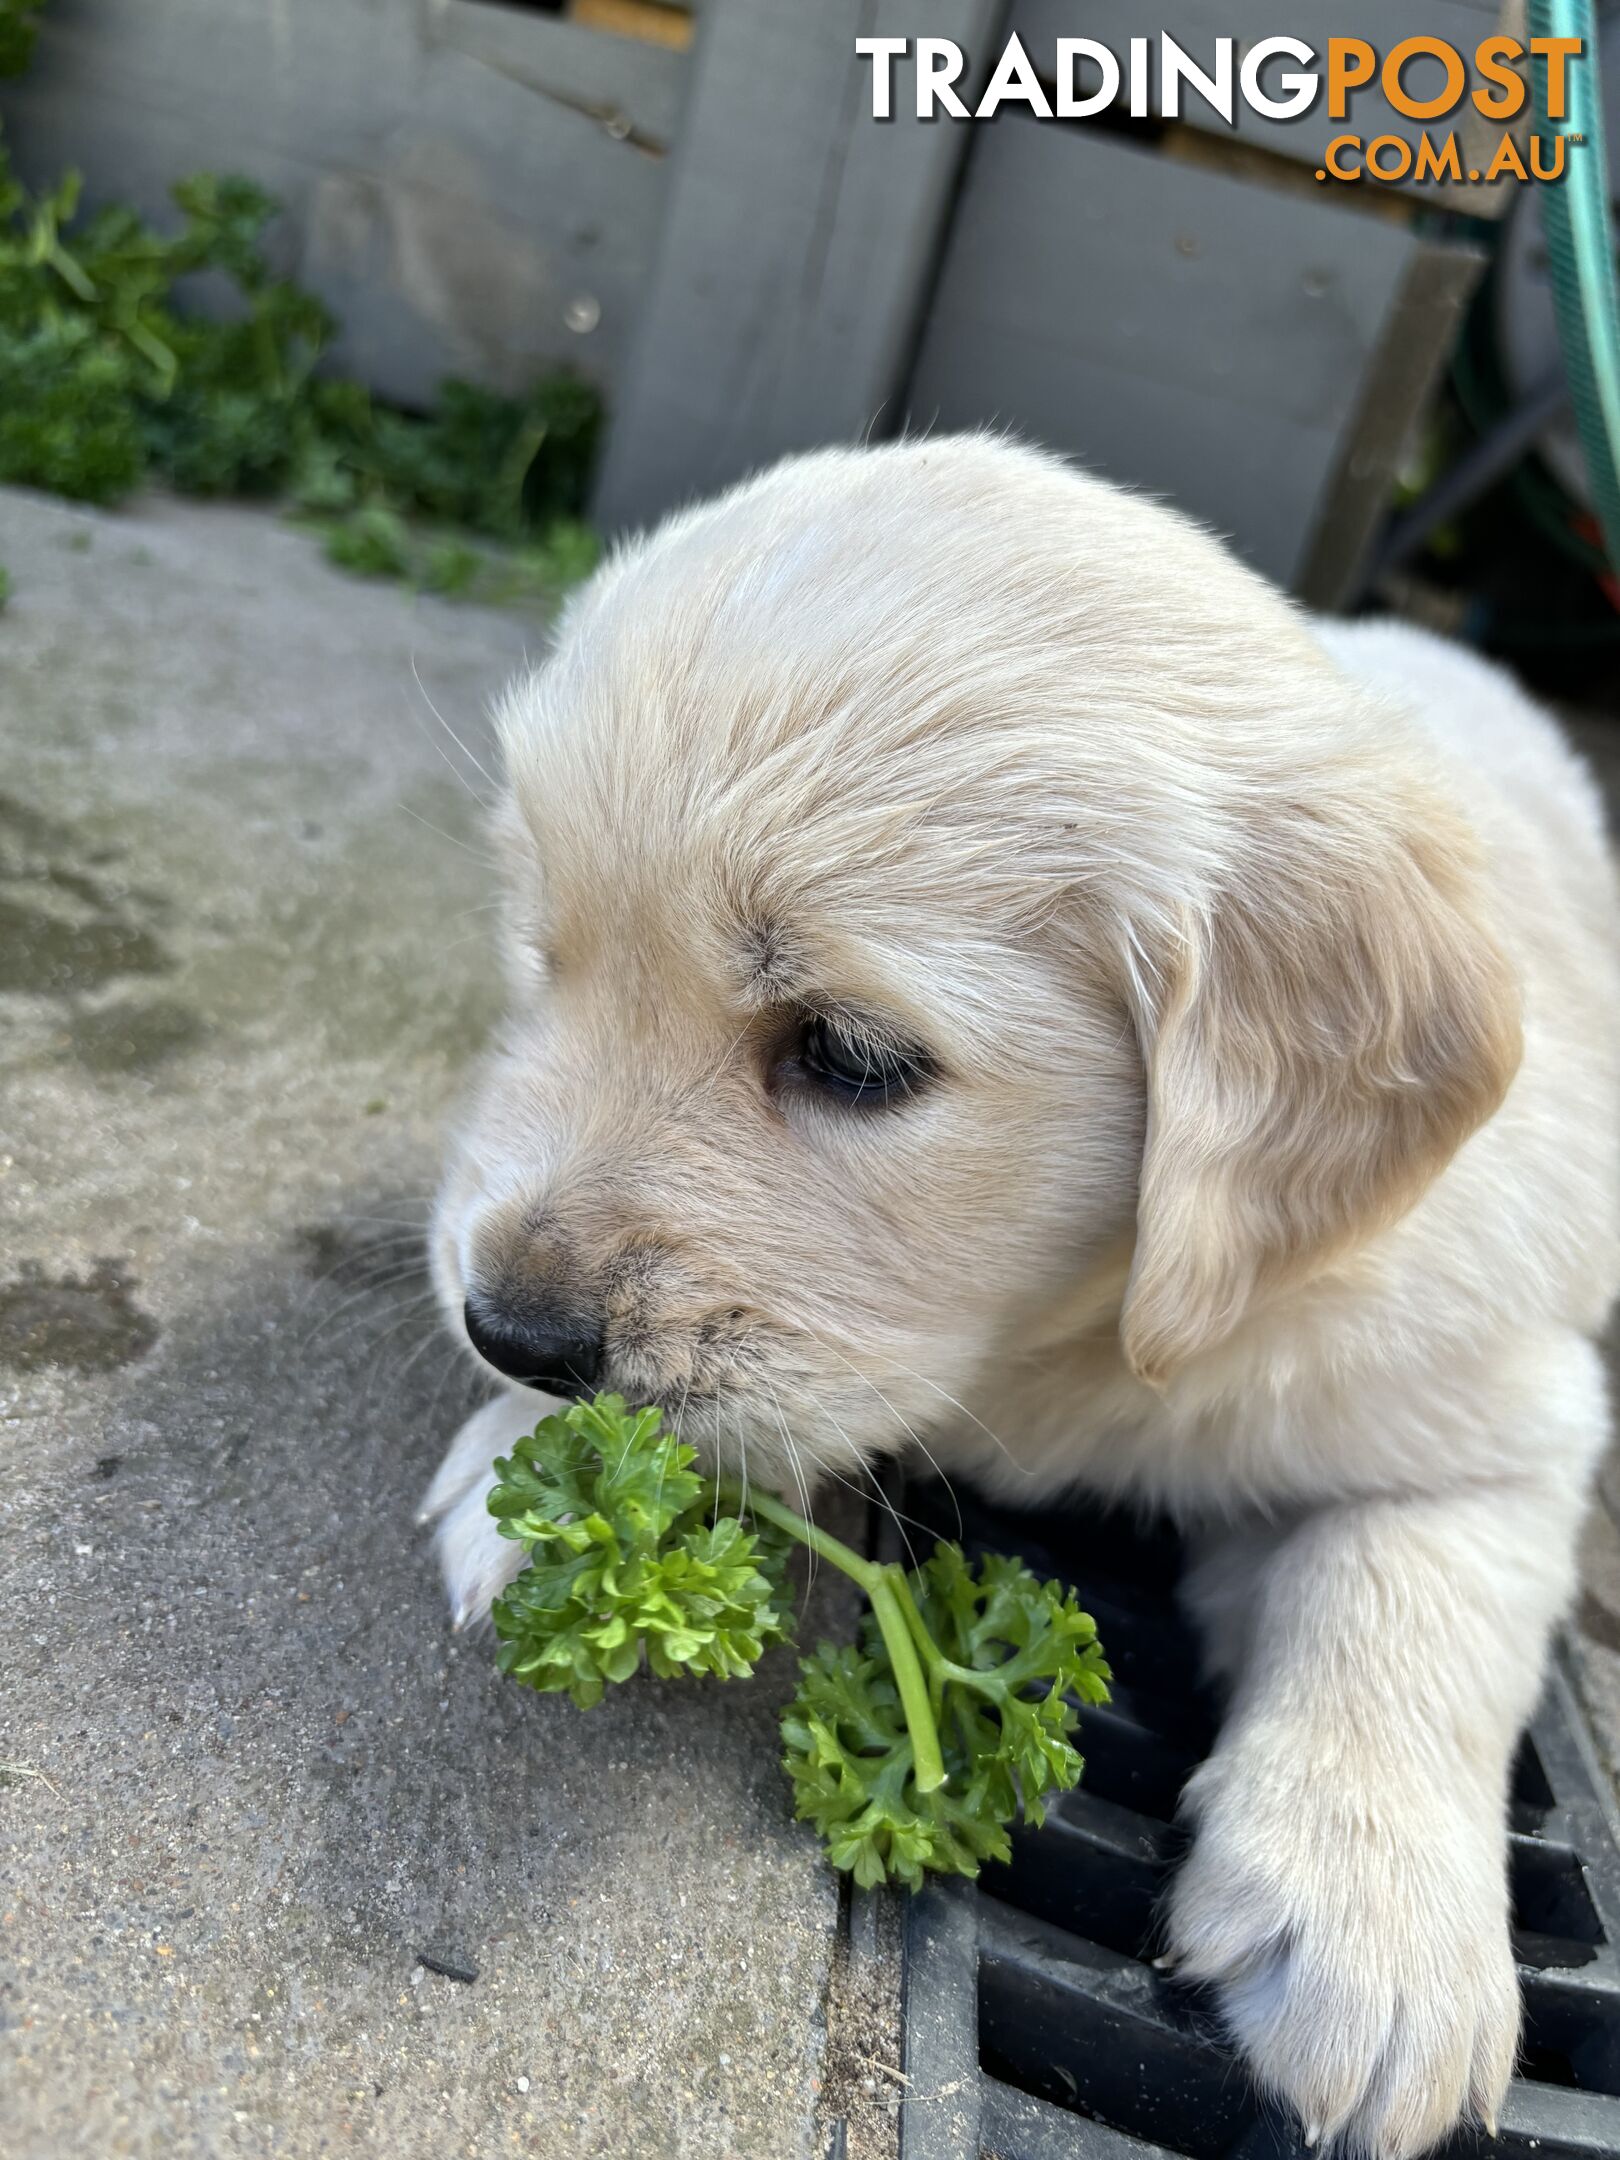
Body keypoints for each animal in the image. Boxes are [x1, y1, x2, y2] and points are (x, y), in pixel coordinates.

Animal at [421, 429, 1620, 2151]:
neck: (1075, 1337)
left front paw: (1374, 1928)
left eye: (852, 1055)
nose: (508, 1326)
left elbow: (1411, 1587)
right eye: (544, 956)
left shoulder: (1495, 1398)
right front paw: (515, 1462)